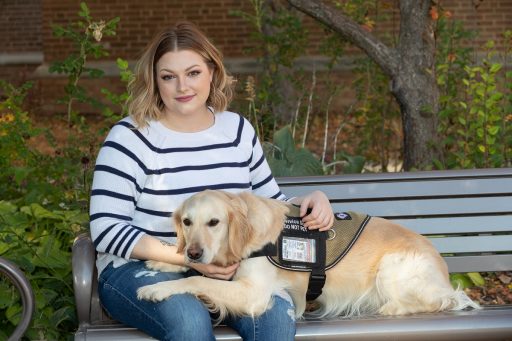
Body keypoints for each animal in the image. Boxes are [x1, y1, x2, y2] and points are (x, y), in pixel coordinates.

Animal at [137, 190, 480, 320]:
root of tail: (441, 265)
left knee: (444, 300)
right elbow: (196, 273)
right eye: (186, 222)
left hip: (391, 267)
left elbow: (198, 282)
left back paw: (390, 307)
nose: (194, 252)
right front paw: (160, 260)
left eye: (214, 222)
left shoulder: (254, 293)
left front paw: (156, 288)